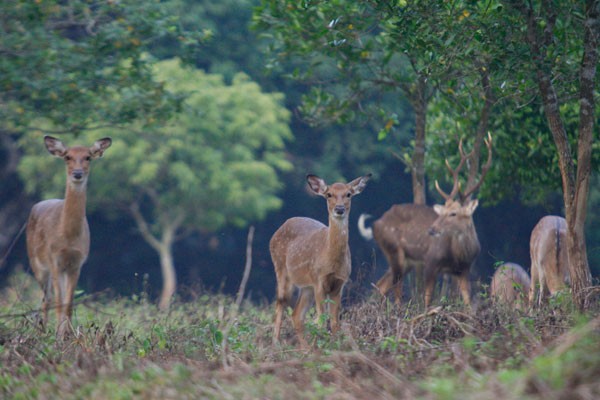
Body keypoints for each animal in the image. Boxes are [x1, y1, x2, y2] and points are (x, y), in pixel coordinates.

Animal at [26, 136, 112, 336]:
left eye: (88, 157)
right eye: (67, 157)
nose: (77, 173)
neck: (68, 237)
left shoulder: (77, 263)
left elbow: (69, 303)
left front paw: (70, 335)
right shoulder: (54, 259)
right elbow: (59, 302)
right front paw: (59, 335)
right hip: (36, 263)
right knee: (46, 299)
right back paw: (43, 330)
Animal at [270, 173, 370, 346]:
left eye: (348, 194)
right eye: (329, 194)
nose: (339, 209)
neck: (332, 262)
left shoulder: (339, 283)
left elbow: (335, 322)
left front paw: (335, 346)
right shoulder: (318, 280)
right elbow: (321, 321)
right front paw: (322, 346)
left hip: (306, 286)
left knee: (296, 315)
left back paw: (305, 348)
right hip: (281, 269)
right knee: (281, 302)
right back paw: (276, 343)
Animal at [358, 134, 490, 310]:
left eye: (453, 213)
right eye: (443, 210)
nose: (432, 229)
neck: (459, 254)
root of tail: (374, 225)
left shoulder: (464, 270)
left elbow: (467, 300)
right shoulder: (431, 261)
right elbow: (427, 299)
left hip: (406, 261)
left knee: (381, 285)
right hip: (394, 250)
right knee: (395, 287)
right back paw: (397, 308)